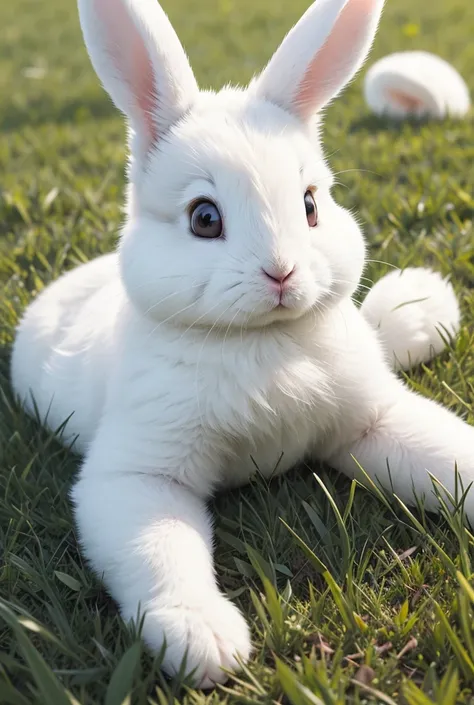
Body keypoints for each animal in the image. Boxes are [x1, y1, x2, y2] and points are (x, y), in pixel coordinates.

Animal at [9, 0, 472, 688]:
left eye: (310, 205)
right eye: (205, 218)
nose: (281, 274)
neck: (266, 344)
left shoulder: (372, 421)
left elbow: (446, 452)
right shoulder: (139, 475)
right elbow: (162, 549)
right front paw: (203, 638)